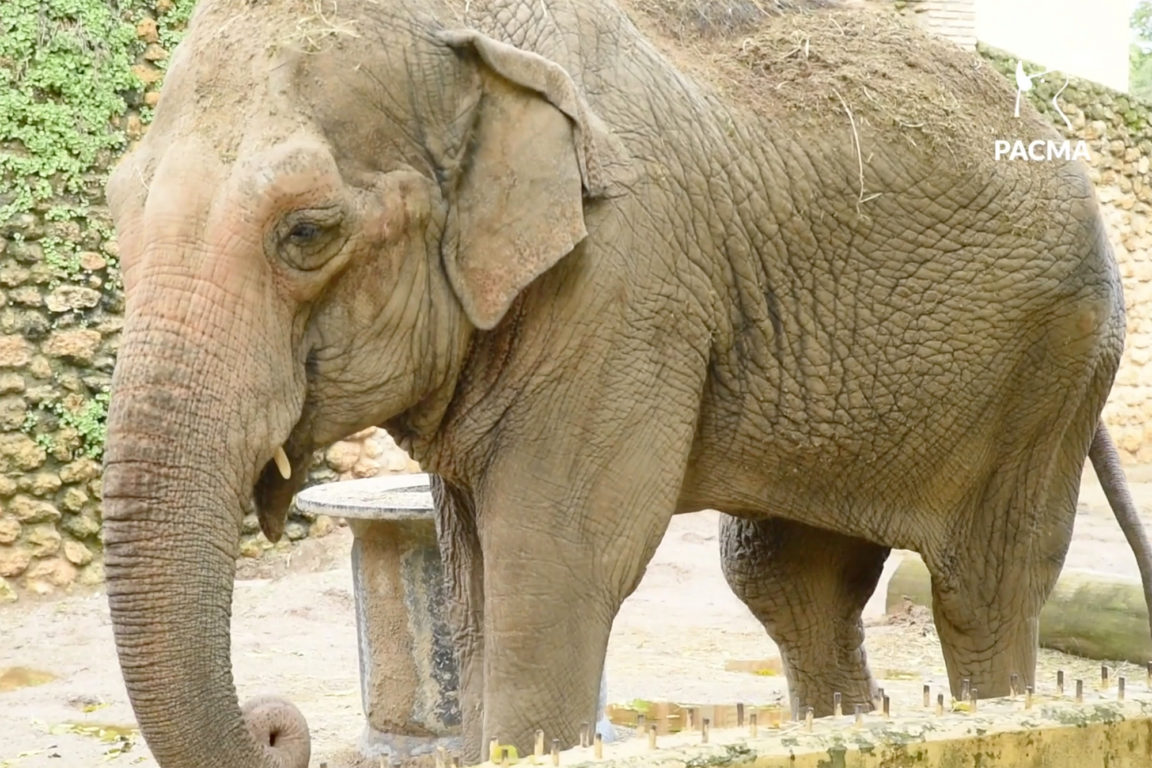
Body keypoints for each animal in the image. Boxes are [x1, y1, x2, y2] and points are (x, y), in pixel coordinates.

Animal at [99, 0, 1152, 765]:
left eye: (308, 232)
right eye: (115, 210)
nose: (277, 726)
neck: (468, 40)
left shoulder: (624, 284)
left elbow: (554, 565)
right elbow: (477, 587)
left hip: (1056, 364)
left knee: (982, 587)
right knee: (791, 585)